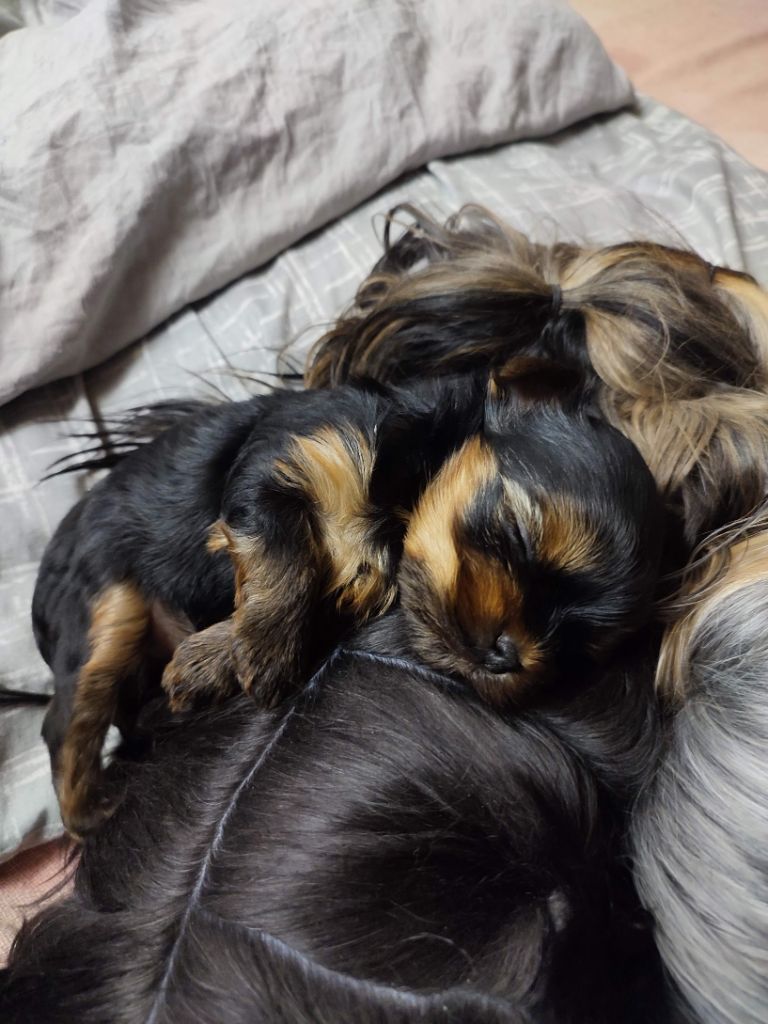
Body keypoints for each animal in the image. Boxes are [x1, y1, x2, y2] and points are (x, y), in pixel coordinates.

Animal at [33, 362, 663, 839]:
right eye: (514, 535)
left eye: (574, 647)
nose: (507, 654)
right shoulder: (290, 457)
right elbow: (286, 557)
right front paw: (259, 652)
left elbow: (316, 601)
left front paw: (210, 661)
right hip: (106, 601)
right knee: (68, 720)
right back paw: (91, 814)